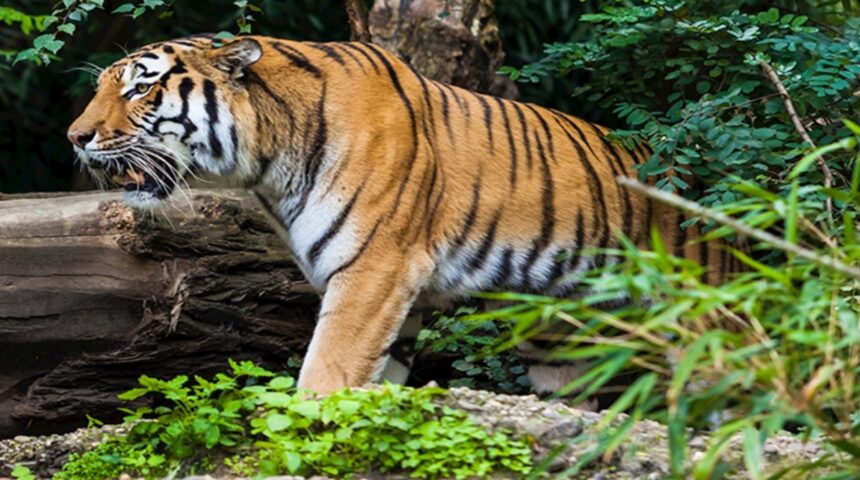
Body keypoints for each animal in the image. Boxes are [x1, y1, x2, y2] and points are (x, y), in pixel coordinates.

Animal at [67, 34, 739, 395]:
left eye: (140, 89)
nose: (76, 137)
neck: (267, 166)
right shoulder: (392, 293)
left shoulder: (375, 270)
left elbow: (327, 371)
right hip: (564, 343)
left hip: (705, 322)